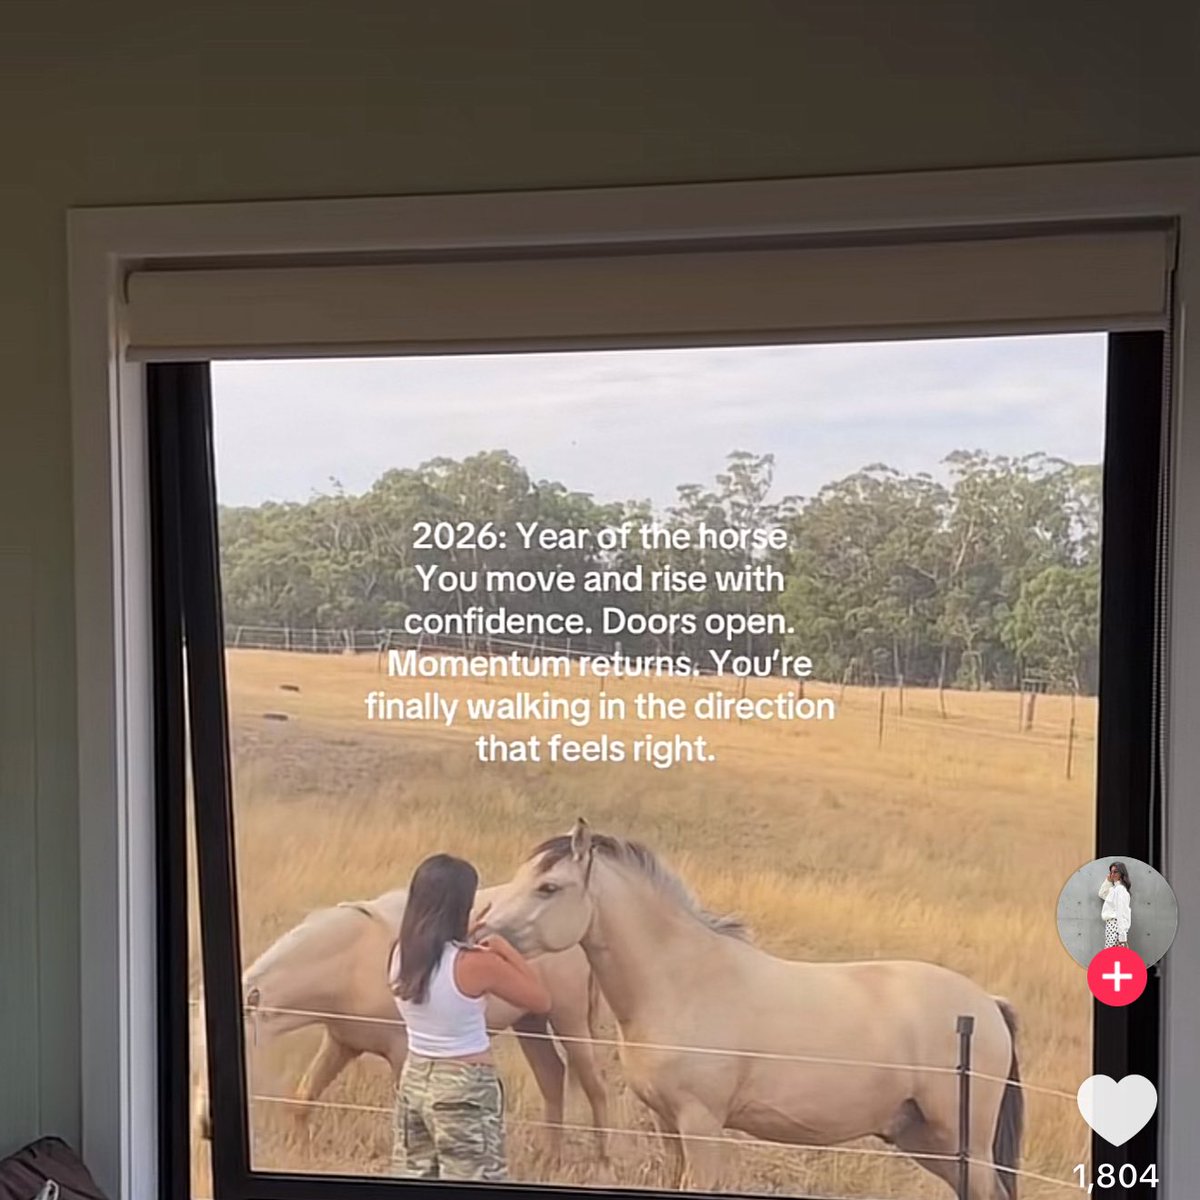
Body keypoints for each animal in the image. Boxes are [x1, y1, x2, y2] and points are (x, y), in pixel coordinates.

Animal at [192, 883, 609, 1163]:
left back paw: (601, 1158)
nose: (203, 1124)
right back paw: (550, 1158)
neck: (350, 960)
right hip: (531, 1021)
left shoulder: (402, 1056)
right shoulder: (341, 1044)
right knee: (552, 1076)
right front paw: (300, 1154)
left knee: (592, 1085)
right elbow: (302, 1099)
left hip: (568, 1020)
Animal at [475, 820, 1023, 1199]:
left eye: (548, 887)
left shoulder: (701, 1124)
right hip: (924, 1139)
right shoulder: (668, 1124)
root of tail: (988, 1006)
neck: (685, 982)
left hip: (964, 1143)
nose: (480, 936)